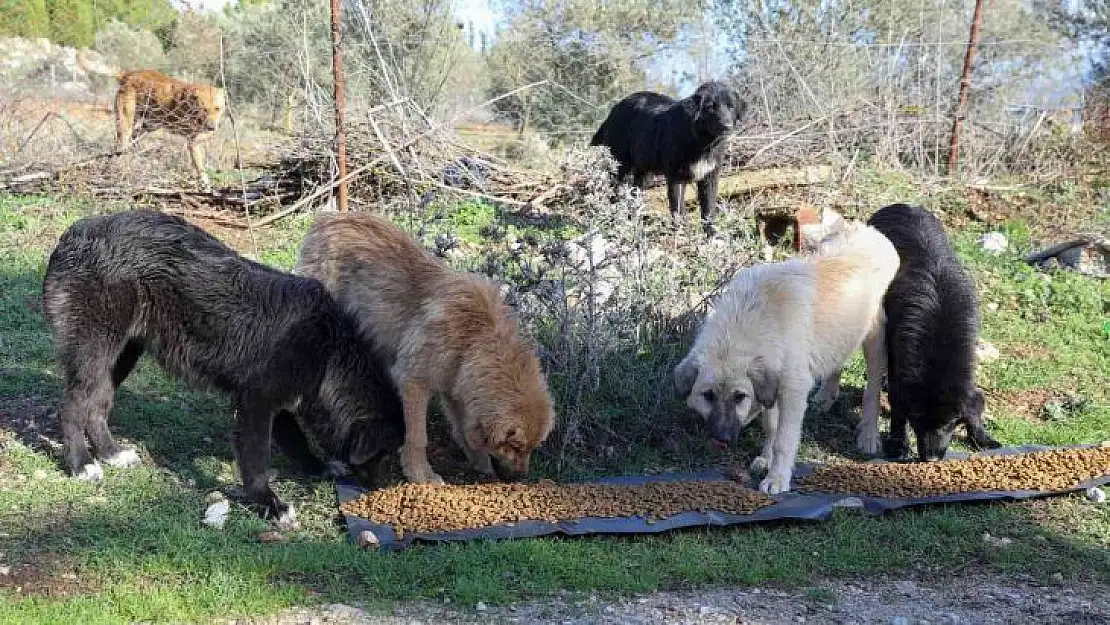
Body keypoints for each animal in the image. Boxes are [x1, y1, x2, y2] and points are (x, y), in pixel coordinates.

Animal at [46, 209, 408, 523]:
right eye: (387, 453)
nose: (382, 490)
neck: (329, 353)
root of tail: (76, 231)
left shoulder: (282, 402)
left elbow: (297, 441)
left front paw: (317, 467)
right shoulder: (255, 402)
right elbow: (257, 459)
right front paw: (268, 503)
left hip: (121, 355)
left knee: (97, 405)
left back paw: (110, 453)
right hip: (96, 351)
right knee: (72, 407)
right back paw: (81, 464)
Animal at [590, 78, 745, 235]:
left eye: (731, 107)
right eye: (710, 107)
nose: (727, 126)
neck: (702, 142)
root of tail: (615, 108)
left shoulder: (709, 177)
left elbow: (709, 210)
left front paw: (712, 236)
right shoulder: (676, 178)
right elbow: (678, 210)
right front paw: (681, 235)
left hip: (644, 174)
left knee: (634, 197)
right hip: (620, 167)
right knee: (613, 195)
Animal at [670, 224, 896, 495]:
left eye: (739, 397)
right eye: (707, 395)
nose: (722, 438)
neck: (750, 319)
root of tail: (871, 230)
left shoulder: (793, 390)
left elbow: (784, 439)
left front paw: (777, 477)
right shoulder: (771, 384)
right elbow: (771, 426)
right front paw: (766, 459)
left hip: (875, 339)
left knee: (872, 389)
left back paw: (869, 435)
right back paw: (826, 396)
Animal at [870, 204, 1003, 459]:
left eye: (948, 424)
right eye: (917, 422)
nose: (930, 458)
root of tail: (900, 206)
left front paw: (982, 437)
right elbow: (898, 406)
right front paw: (897, 443)